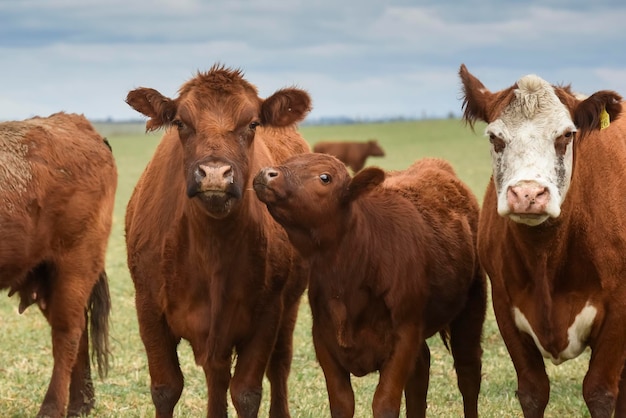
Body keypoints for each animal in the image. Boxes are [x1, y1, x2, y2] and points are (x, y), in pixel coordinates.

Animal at [125, 64, 310, 418]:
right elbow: (166, 388)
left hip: (289, 306)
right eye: (181, 122)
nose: (213, 174)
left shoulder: (267, 314)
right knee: (217, 374)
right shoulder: (148, 308)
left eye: (252, 123)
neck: (211, 250)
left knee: (278, 365)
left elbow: (247, 392)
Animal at [251, 154, 486, 418]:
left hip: (472, 307)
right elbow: (342, 403)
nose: (267, 173)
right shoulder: (323, 338)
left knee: (468, 373)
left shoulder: (404, 336)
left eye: (325, 177)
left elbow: (384, 402)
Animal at [456, 63, 624, 416]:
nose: (528, 194)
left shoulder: (619, 311)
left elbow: (601, 392)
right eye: (495, 137)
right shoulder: (505, 305)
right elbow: (533, 391)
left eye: (566, 135)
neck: (547, 255)